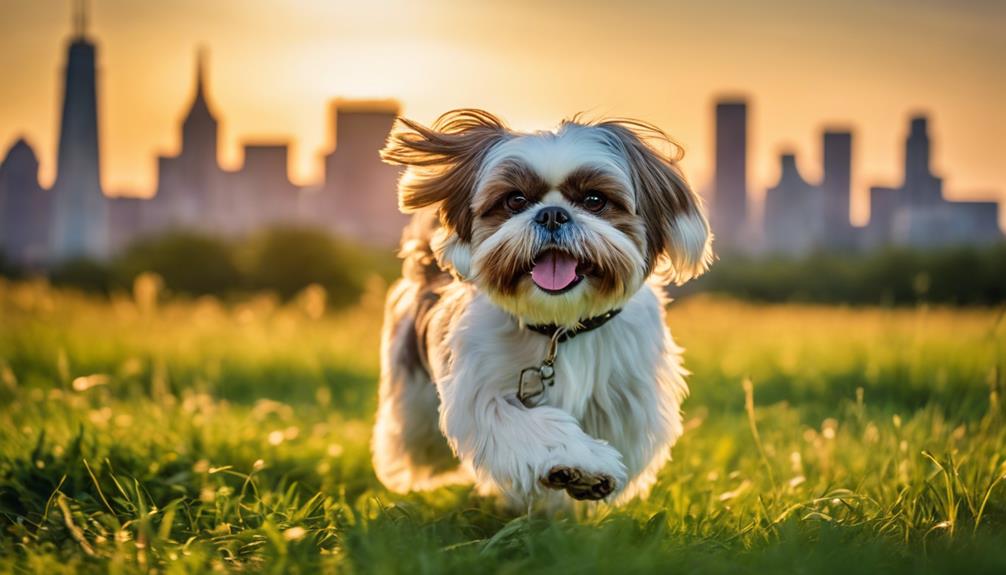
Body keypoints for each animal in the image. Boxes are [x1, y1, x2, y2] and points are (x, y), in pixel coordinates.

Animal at [372, 109, 716, 506]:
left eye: (594, 199)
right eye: (515, 200)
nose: (552, 214)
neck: (559, 326)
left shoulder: (627, 393)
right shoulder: (482, 385)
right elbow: (522, 424)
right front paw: (581, 464)